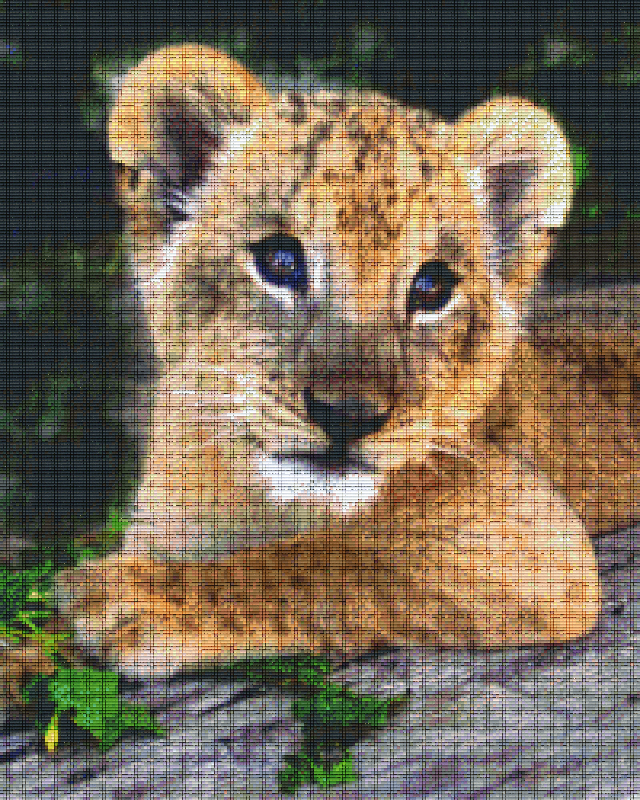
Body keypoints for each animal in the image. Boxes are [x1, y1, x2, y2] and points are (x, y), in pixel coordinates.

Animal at [53, 44, 639, 679]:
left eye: (432, 287)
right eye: (280, 261)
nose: (348, 416)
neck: (246, 492)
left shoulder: (533, 535)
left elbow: (336, 556)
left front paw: (135, 598)